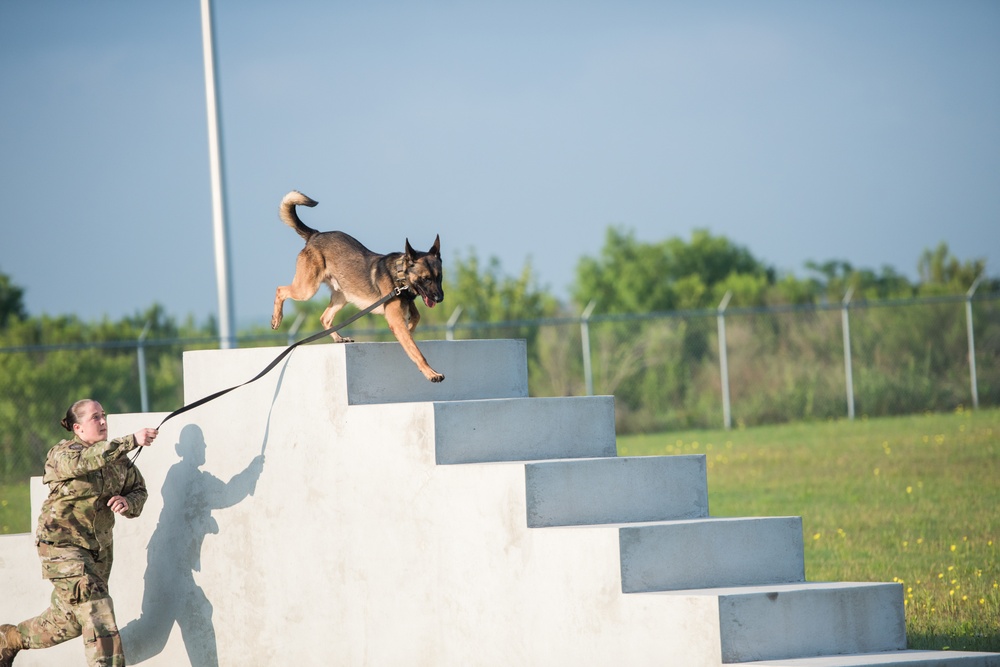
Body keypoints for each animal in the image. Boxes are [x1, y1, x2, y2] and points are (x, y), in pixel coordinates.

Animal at [272, 190, 448, 384]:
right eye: (426, 279)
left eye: (439, 277)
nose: (440, 298)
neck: (400, 276)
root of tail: (315, 235)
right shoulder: (396, 319)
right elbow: (417, 352)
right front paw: (431, 373)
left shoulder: (407, 307)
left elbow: (416, 317)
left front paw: (409, 330)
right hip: (307, 289)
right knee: (280, 290)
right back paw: (277, 318)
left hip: (342, 297)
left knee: (325, 317)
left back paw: (339, 338)